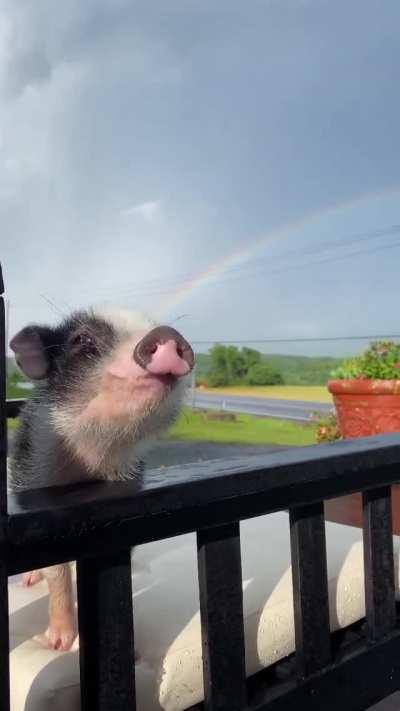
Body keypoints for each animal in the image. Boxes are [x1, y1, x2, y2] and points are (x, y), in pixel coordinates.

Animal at [8, 307, 194, 650]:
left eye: (152, 326)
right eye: (83, 340)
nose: (165, 333)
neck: (93, 462)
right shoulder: (37, 484)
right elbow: (58, 573)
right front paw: (60, 643)